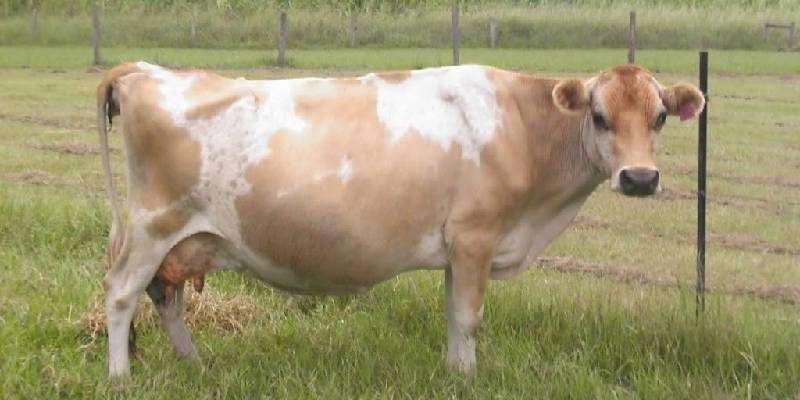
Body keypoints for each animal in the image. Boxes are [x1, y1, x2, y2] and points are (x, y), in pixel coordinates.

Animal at [96, 62, 704, 378]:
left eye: (659, 117)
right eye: (599, 116)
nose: (640, 178)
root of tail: (141, 70)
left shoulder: (457, 248)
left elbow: (453, 315)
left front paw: (454, 374)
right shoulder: (477, 237)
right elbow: (469, 317)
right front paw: (467, 378)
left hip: (184, 237)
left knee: (166, 297)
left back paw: (195, 365)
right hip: (152, 226)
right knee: (122, 295)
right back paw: (121, 376)